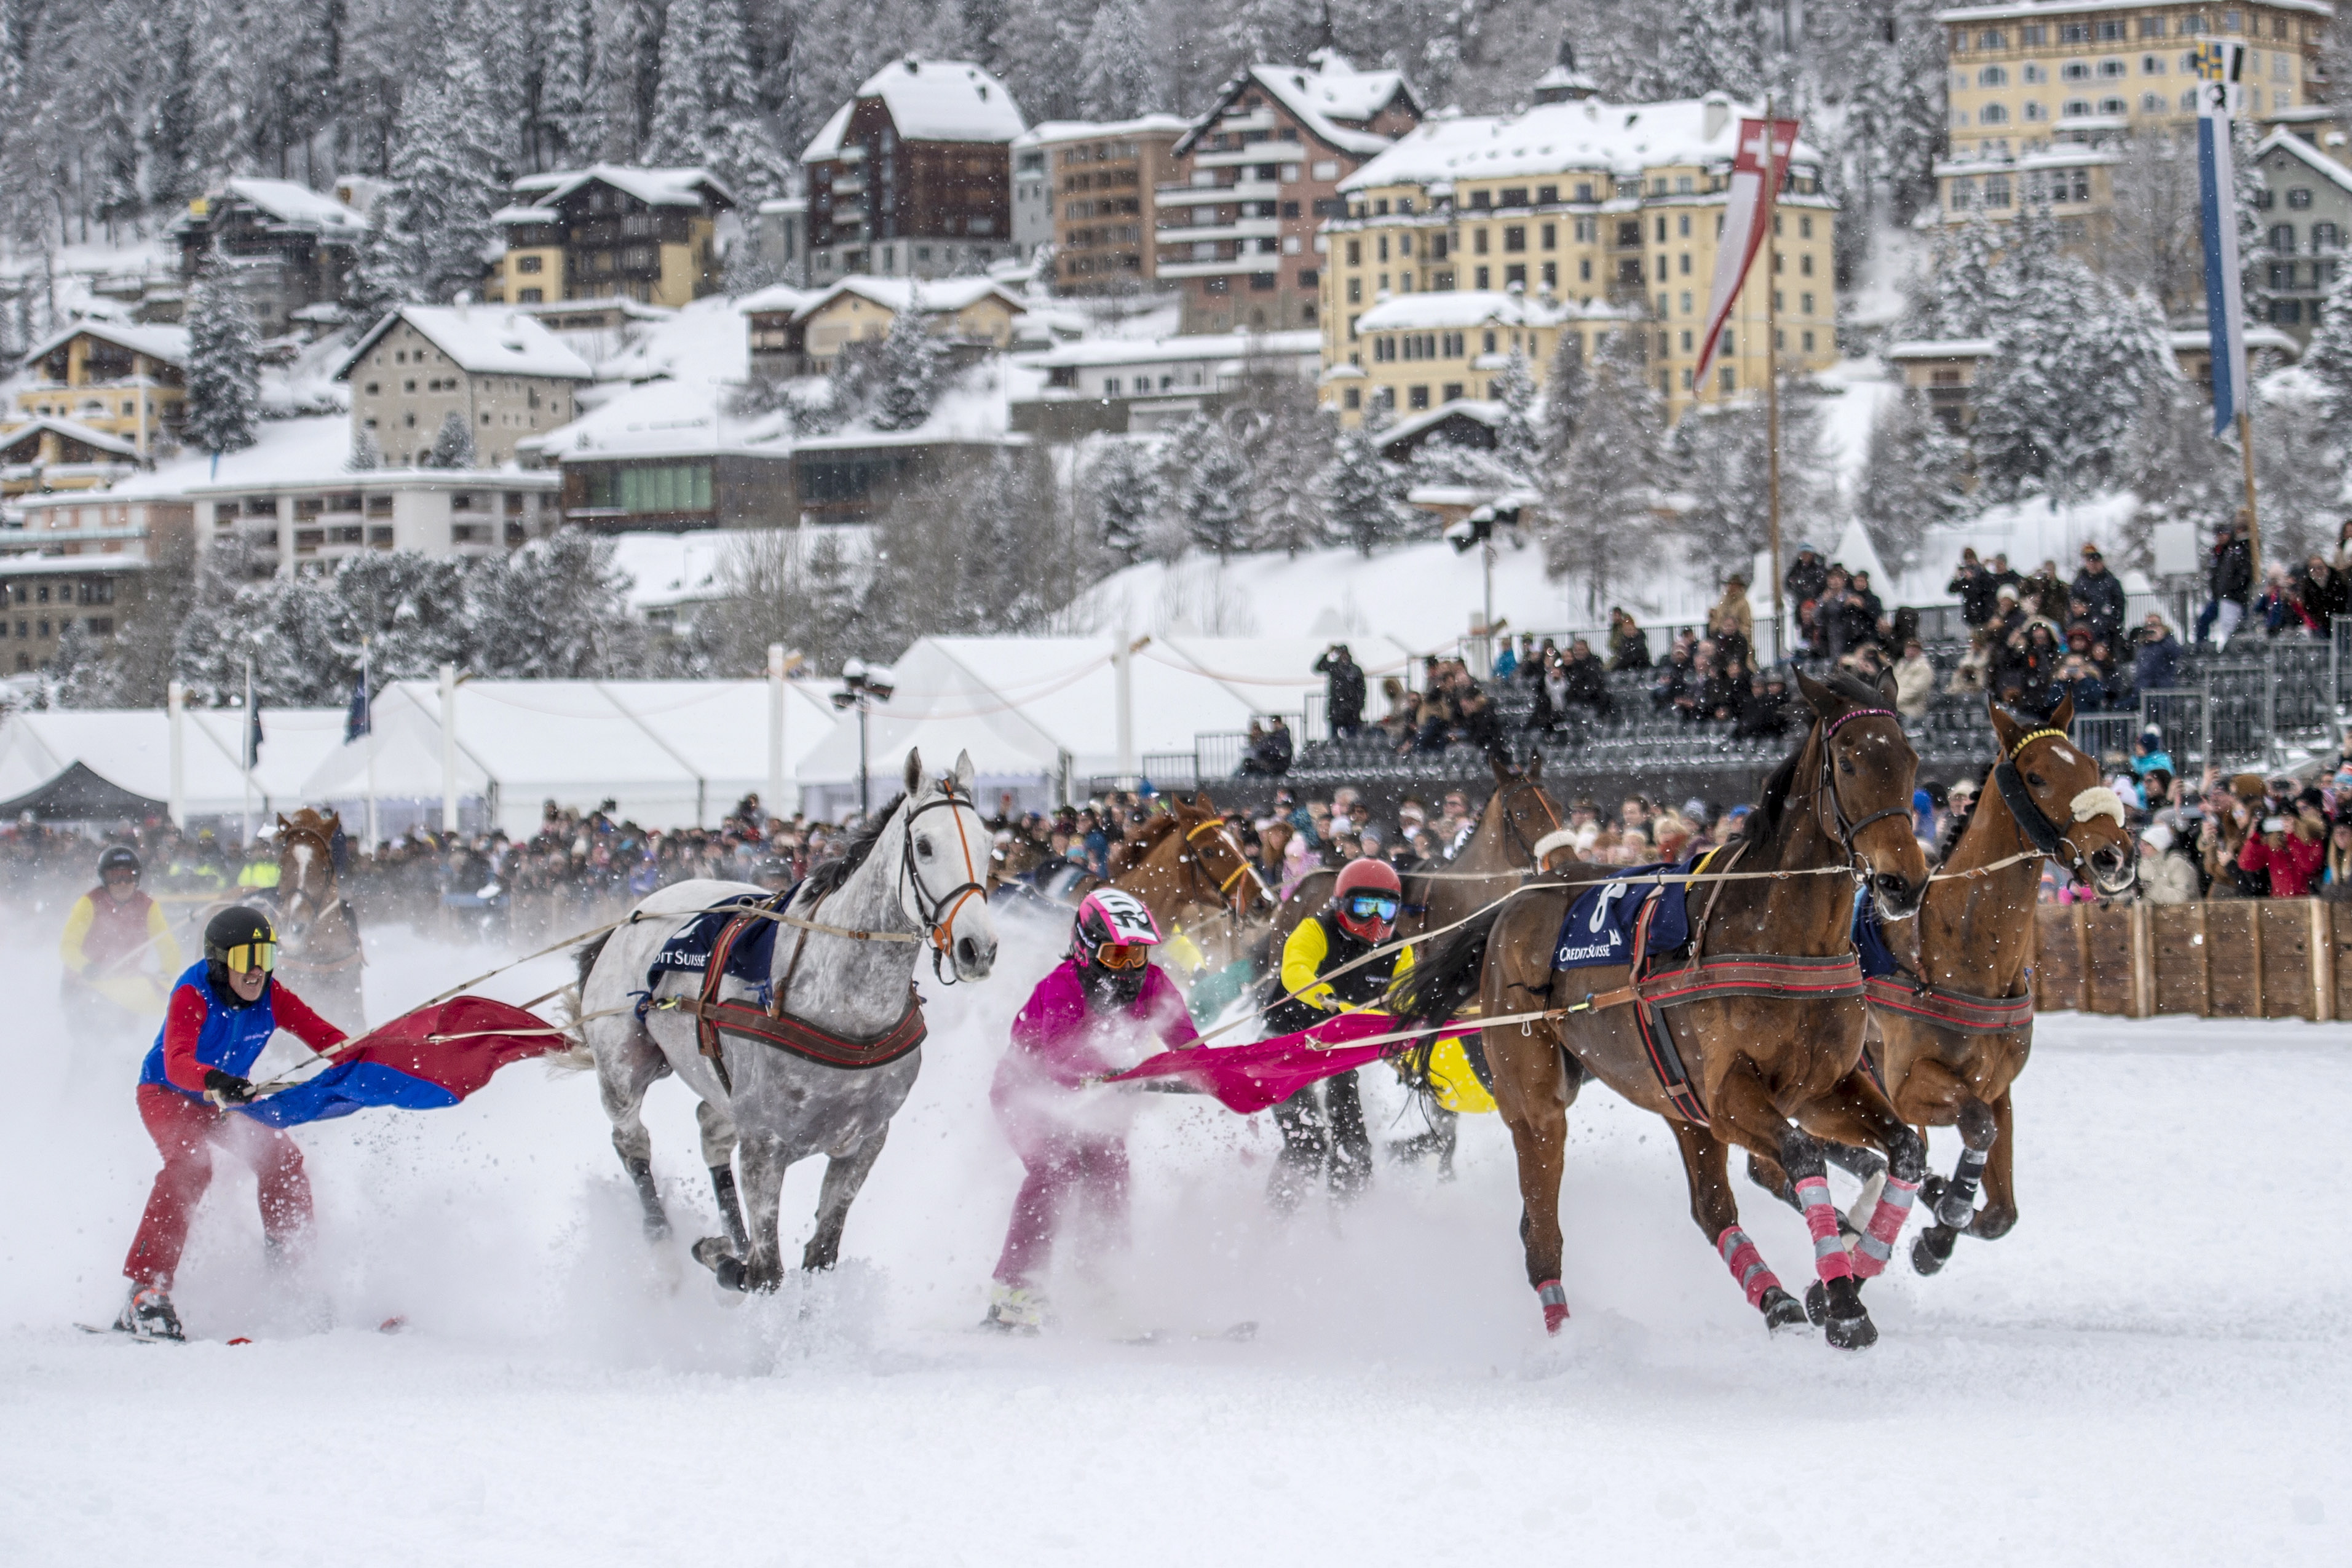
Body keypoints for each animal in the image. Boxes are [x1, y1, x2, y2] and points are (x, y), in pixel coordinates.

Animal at [585, 752, 1002, 1297]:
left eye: (988, 844)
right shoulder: (765, 1148)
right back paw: (666, 1252)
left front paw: (733, 1254)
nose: (978, 947)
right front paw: (727, 1261)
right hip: (622, 1065)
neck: (847, 1011)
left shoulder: (863, 1142)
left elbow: (819, 1255)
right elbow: (765, 1273)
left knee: (711, 1132)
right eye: (926, 846)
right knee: (631, 1140)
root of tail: (634, 913)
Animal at [1392, 672, 1928, 1354]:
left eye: (1909, 760)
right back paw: (1567, 1336)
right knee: (1540, 1229)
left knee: (1712, 1207)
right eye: (1852, 761)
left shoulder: (1822, 1085)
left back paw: (1778, 1299)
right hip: (1536, 1100)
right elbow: (1804, 1157)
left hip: (1677, 1101)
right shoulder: (1728, 1094)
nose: (1902, 883)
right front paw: (1843, 1301)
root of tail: (1513, 904)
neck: (1779, 935)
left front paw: (1845, 1278)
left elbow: (1904, 1151)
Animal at [1863, 695, 2145, 1278]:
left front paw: (1940, 1225)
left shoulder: (1995, 1088)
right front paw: (1944, 1209)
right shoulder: (1906, 1083)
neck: (1954, 950)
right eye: (2035, 776)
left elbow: (1999, 1212)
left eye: (2091, 766)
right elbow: (1971, 1128)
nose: (2115, 856)